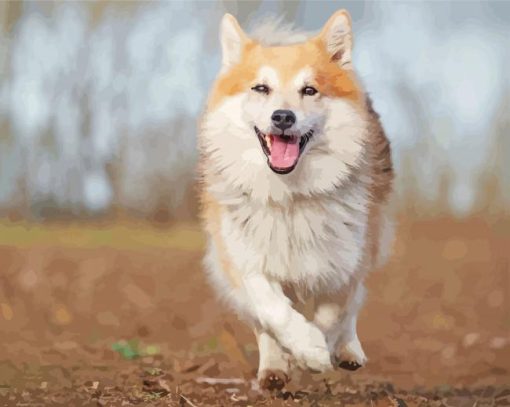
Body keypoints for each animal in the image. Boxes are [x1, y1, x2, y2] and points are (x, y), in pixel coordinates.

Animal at [197, 9, 392, 392]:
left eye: (309, 89)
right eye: (261, 88)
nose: (283, 116)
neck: (289, 194)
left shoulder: (344, 260)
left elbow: (335, 313)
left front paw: (317, 350)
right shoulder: (243, 257)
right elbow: (271, 309)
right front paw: (303, 349)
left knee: (354, 304)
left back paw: (347, 351)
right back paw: (274, 368)